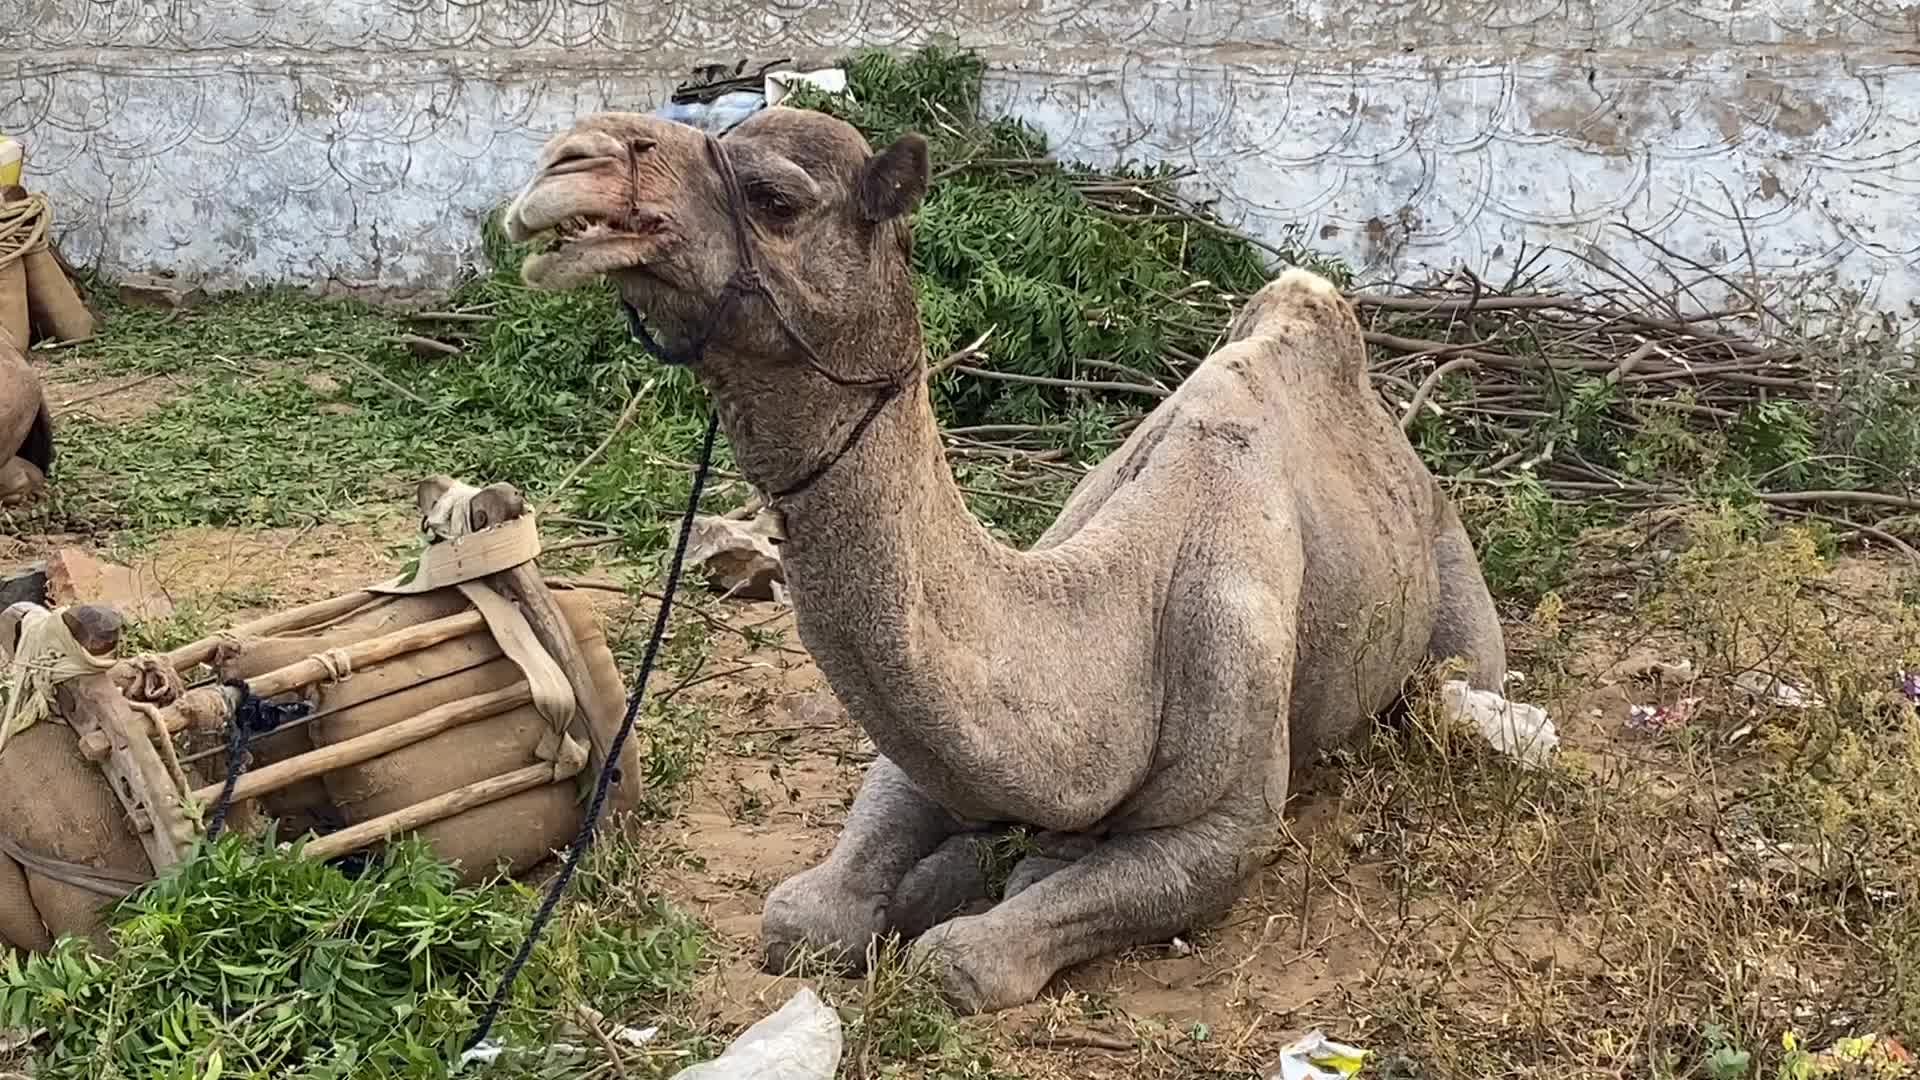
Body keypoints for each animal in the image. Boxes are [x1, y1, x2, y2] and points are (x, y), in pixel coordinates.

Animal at [502, 106, 1507, 1014]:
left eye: (772, 197)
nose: (568, 159)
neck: (1111, 622)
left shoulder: (1227, 818)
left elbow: (961, 961)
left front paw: (987, 898)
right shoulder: (934, 754)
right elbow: (805, 917)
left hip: (1453, 596)